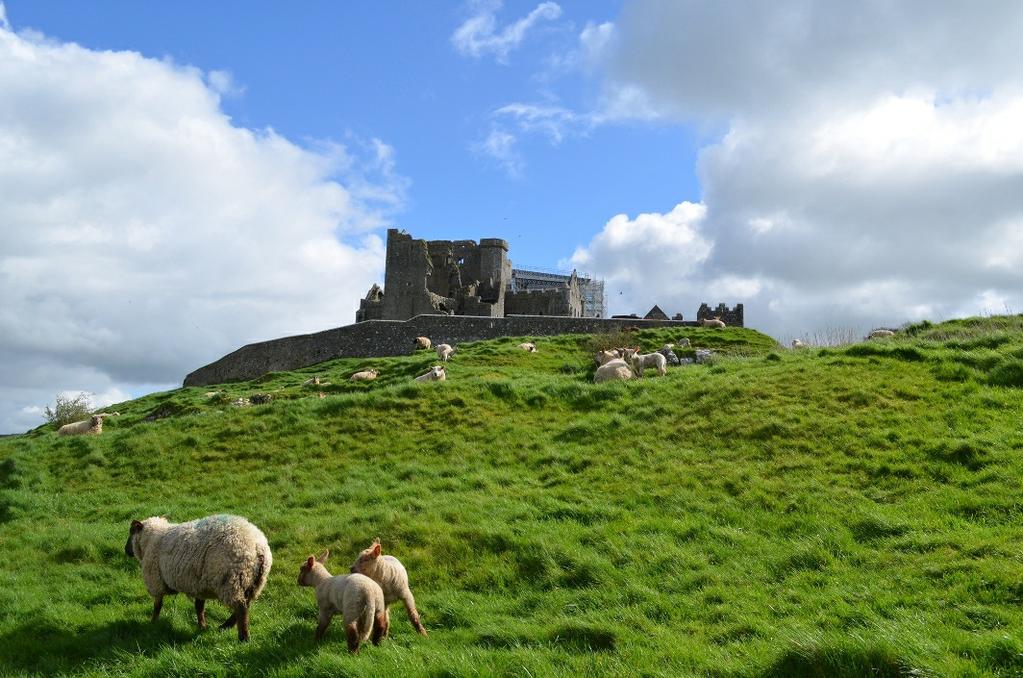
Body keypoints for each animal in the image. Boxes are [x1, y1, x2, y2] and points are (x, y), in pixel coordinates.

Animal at [123, 515, 272, 642]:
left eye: (131, 532)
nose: (126, 551)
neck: (150, 540)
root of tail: (258, 547)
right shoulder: (198, 585)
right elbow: (199, 607)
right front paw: (202, 626)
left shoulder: (155, 581)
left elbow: (157, 606)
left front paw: (153, 623)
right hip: (253, 583)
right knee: (246, 605)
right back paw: (224, 626)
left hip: (232, 581)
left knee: (241, 609)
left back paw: (243, 637)